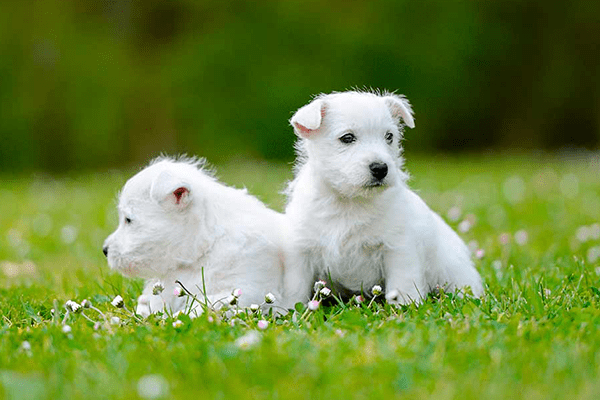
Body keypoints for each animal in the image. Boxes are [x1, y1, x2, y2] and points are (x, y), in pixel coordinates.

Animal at [284, 90, 486, 306]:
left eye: (389, 136)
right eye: (347, 138)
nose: (381, 168)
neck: (349, 202)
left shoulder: (398, 249)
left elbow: (403, 285)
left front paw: (405, 308)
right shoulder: (301, 253)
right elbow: (295, 289)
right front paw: (288, 310)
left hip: (453, 272)